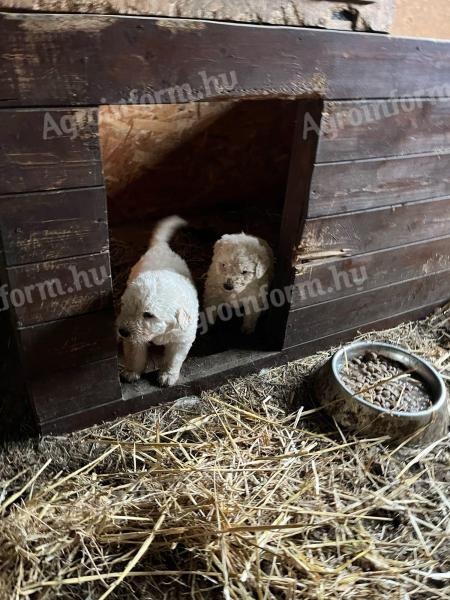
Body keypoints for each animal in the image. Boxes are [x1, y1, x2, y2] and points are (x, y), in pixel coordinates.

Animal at [118, 214, 199, 384]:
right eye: (125, 306)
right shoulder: (135, 340)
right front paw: (131, 372)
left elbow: (173, 359)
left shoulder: (182, 338)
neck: (162, 331)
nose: (122, 331)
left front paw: (168, 375)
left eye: (148, 315)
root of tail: (161, 246)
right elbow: (135, 354)